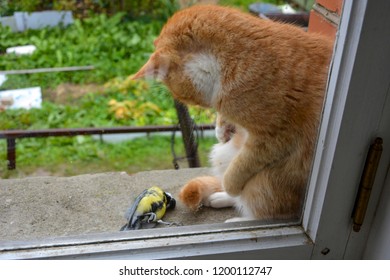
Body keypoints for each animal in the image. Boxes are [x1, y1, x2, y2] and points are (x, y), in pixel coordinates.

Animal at [133, 4, 334, 221]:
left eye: (181, 94)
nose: (192, 104)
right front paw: (221, 129)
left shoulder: (273, 139)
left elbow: (239, 168)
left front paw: (230, 185)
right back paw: (219, 197)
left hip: (264, 182)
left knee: (262, 210)